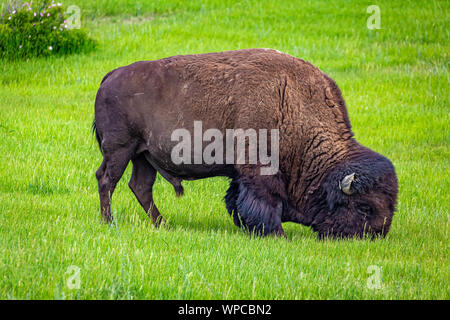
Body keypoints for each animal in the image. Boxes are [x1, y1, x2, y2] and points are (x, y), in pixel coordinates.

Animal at [92, 48, 398, 239]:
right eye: (365, 207)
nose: (375, 236)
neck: (292, 104)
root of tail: (110, 75)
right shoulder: (260, 170)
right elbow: (264, 202)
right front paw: (277, 235)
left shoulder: (241, 174)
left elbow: (237, 199)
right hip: (120, 150)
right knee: (107, 180)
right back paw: (109, 222)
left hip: (143, 156)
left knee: (140, 187)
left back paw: (162, 224)